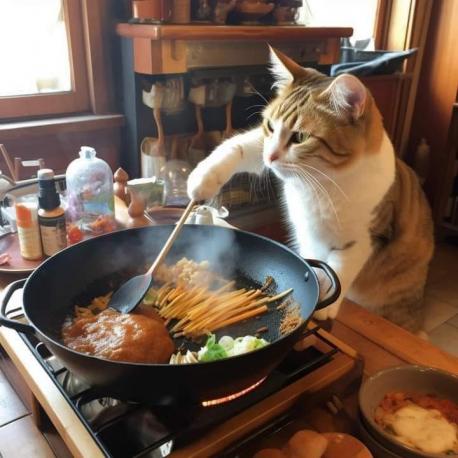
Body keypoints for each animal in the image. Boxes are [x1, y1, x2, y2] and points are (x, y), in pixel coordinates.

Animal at [188, 47, 434, 332]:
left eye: (300, 137)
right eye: (270, 126)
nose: (270, 157)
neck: (321, 182)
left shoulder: (366, 237)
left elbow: (341, 267)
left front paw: (324, 303)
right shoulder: (261, 143)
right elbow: (238, 146)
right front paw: (203, 179)